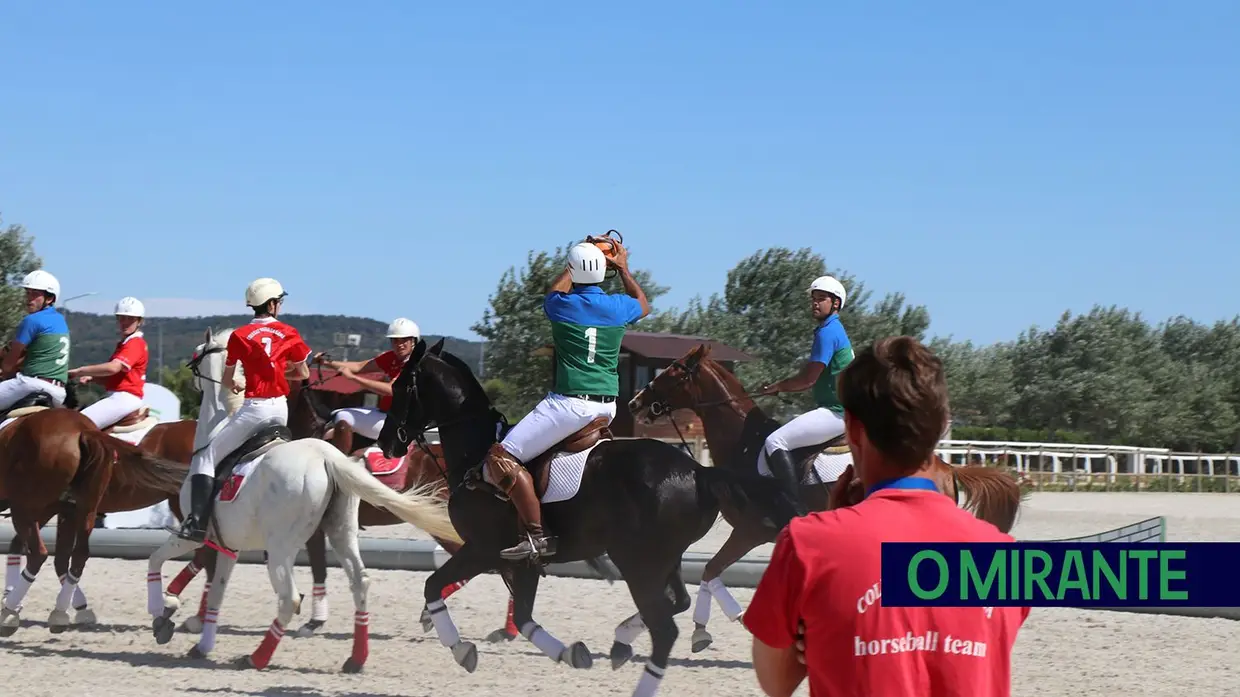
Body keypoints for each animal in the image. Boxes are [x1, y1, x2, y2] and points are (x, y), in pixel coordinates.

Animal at [0, 401, 188, 634]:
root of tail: (82, 430)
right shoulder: (62, 510)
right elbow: (57, 558)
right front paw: (78, 609)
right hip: (77, 509)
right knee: (74, 555)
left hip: (26, 507)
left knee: (39, 554)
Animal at [141, 327, 461, 669]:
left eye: (198, 352)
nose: (192, 379)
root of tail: (326, 456)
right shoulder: (228, 542)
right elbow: (216, 588)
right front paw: (199, 638)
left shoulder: (194, 533)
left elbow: (158, 560)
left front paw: (164, 611)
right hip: (342, 531)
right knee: (360, 582)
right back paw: (357, 657)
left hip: (282, 546)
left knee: (289, 598)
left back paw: (257, 656)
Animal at [372, 337, 768, 694]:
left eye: (401, 386)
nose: (386, 442)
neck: (474, 455)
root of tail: (699, 472)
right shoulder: (522, 562)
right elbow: (524, 617)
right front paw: (571, 653)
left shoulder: (482, 549)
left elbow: (432, 585)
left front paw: (459, 648)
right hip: (664, 559)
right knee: (678, 602)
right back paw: (622, 641)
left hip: (636, 562)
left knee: (665, 628)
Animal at [629, 342, 1026, 649]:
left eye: (673, 370)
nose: (635, 403)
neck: (744, 443)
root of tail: (946, 468)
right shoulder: (748, 533)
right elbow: (710, 572)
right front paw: (703, 628)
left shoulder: (751, 531)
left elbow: (711, 570)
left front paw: (708, 626)